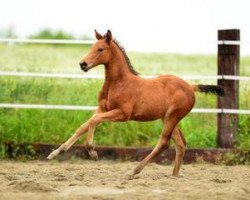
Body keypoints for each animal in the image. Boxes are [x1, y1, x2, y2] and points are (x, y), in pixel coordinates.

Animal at [47, 29, 225, 177]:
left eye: (101, 49)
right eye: (92, 47)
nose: (82, 64)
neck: (118, 83)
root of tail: (190, 86)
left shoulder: (123, 114)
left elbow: (93, 121)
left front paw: (92, 151)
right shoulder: (102, 108)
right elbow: (84, 125)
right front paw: (56, 152)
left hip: (172, 117)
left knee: (164, 143)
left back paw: (133, 171)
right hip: (168, 118)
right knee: (180, 144)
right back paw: (174, 175)